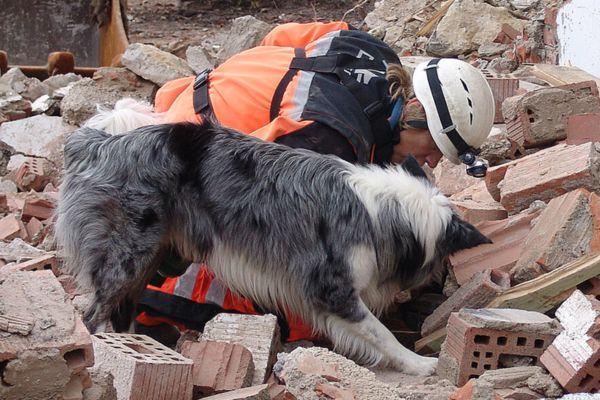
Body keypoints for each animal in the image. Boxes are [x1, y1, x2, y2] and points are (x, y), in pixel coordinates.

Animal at [54, 120, 490, 376]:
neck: (385, 210)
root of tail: (97, 145)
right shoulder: (331, 290)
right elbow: (380, 334)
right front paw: (418, 363)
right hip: (127, 257)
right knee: (93, 316)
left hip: (149, 257)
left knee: (122, 310)